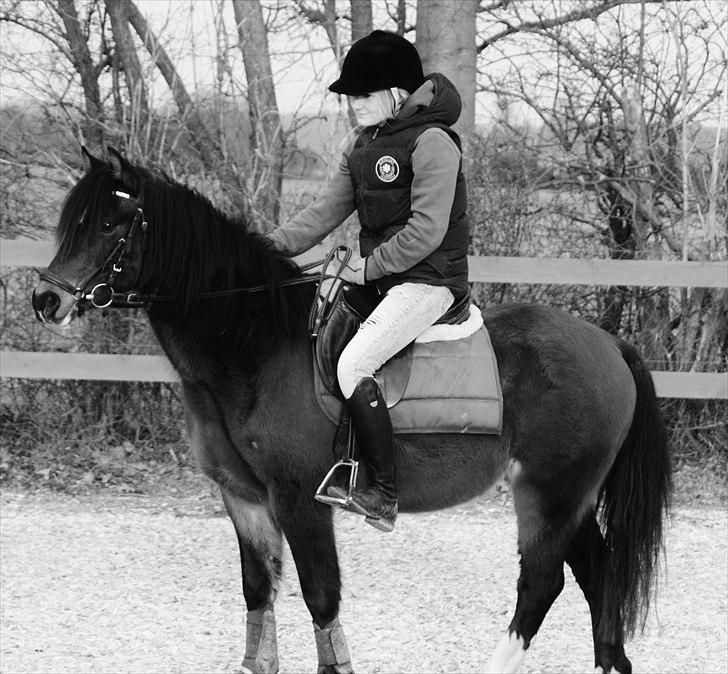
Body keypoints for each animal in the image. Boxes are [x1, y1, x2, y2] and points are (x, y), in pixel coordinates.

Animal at [32, 148, 671, 674]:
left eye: (109, 223)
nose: (46, 300)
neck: (258, 344)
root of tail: (608, 343)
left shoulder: (299, 500)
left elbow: (321, 597)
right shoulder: (243, 499)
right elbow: (257, 594)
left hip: (550, 493)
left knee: (540, 584)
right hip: (573, 497)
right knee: (597, 578)